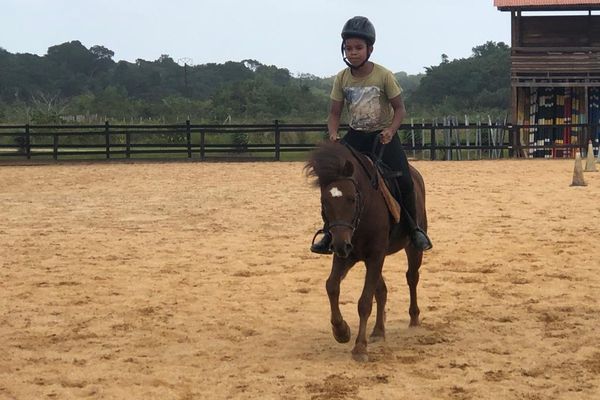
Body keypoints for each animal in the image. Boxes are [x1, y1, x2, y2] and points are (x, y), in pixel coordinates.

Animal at [304, 141, 426, 362]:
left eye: (352, 199)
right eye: (324, 202)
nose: (340, 243)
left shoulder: (375, 256)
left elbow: (364, 303)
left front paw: (360, 347)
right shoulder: (347, 256)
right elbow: (331, 286)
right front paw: (341, 331)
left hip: (411, 248)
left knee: (412, 277)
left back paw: (413, 319)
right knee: (382, 290)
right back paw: (378, 331)